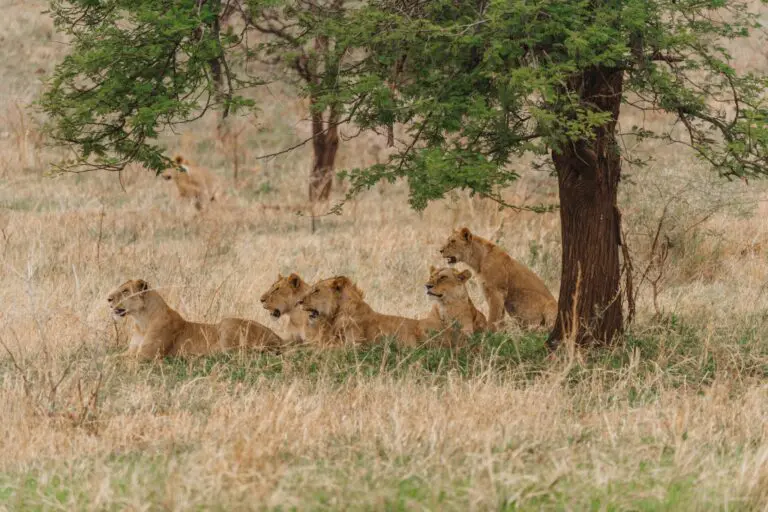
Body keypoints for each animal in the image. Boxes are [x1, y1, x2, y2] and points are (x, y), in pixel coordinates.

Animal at [107, 279, 283, 359]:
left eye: (125, 291)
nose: (108, 299)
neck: (141, 320)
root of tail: (278, 337)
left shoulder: (147, 355)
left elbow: (117, 360)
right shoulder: (132, 351)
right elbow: (112, 357)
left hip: (227, 324)